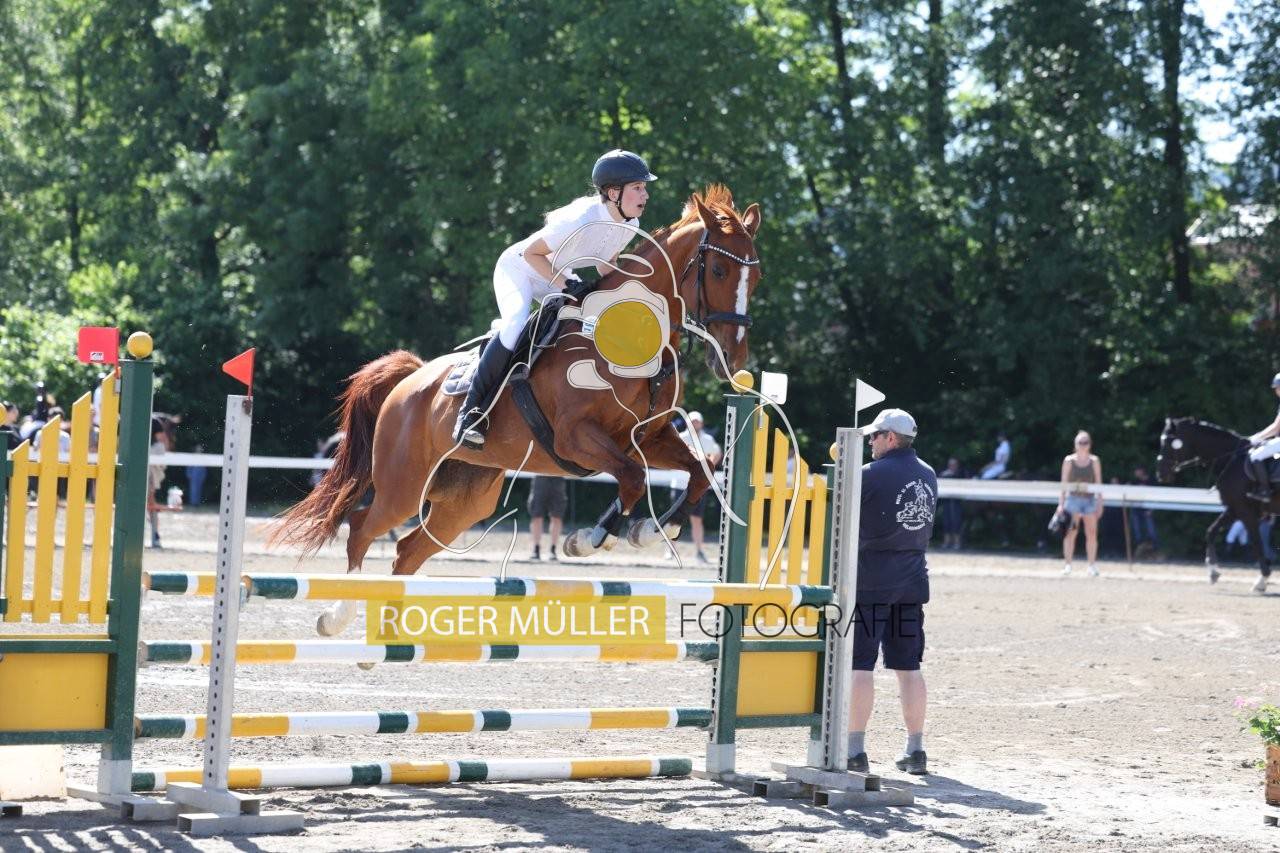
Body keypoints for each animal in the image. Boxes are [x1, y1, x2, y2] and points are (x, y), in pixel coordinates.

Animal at [270, 185, 764, 634]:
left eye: (754, 279)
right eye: (718, 268)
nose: (733, 358)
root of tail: (409, 379)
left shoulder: (650, 437)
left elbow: (699, 474)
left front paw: (654, 530)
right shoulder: (576, 437)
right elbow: (632, 478)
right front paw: (587, 540)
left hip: (466, 501)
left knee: (407, 551)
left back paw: (386, 642)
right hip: (403, 486)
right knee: (360, 529)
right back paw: (338, 617)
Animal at [1155, 417, 1271, 593]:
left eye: (1168, 442)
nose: (1161, 474)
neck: (1231, 460)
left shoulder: (1245, 512)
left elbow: (1257, 543)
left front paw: (1262, 580)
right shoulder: (1234, 509)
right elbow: (1211, 532)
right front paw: (1213, 571)